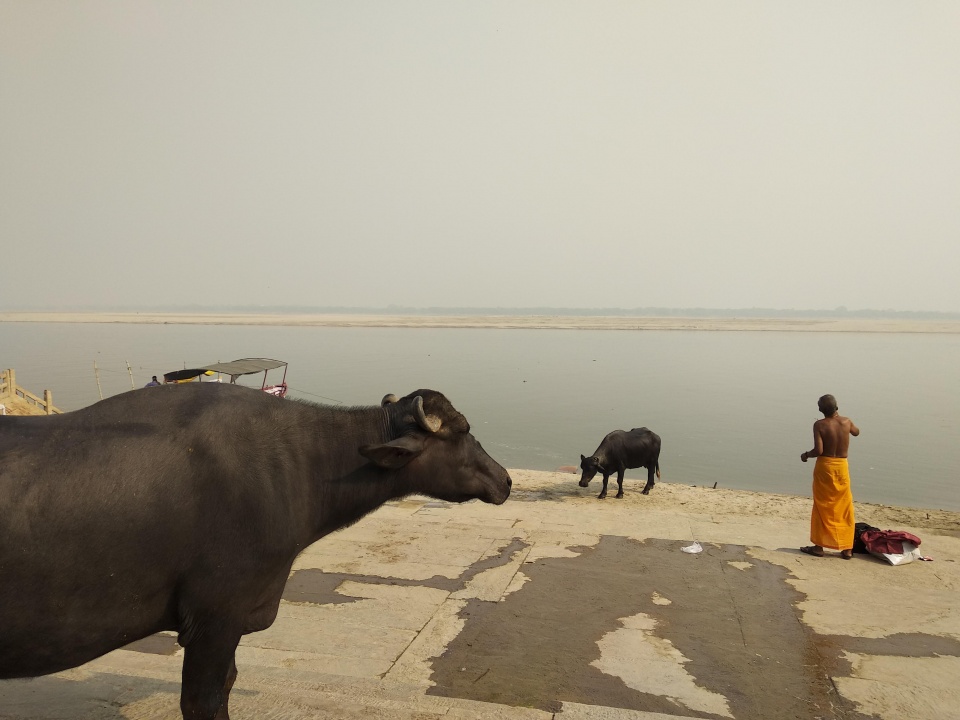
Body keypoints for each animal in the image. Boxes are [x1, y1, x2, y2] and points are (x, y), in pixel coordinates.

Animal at [0, 386, 510, 720]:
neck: (300, 463)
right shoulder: (214, 618)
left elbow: (229, 683)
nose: (504, 479)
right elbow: (202, 701)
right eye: (463, 430)